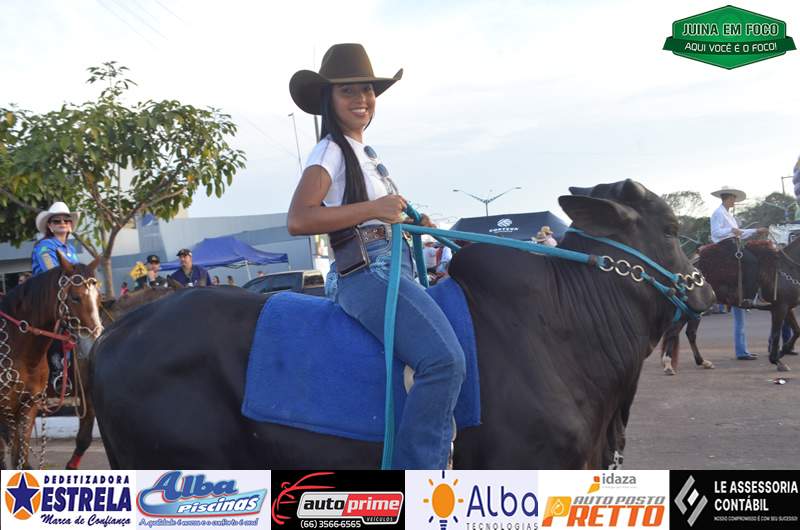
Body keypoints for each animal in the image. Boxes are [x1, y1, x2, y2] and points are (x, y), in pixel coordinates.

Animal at [660, 237, 800, 374]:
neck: (788, 268)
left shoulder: (787, 308)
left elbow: (797, 330)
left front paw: (783, 352)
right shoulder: (779, 308)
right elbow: (776, 334)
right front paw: (777, 361)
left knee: (689, 333)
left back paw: (702, 362)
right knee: (674, 332)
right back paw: (668, 364)